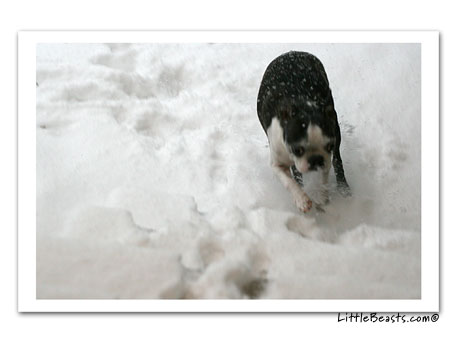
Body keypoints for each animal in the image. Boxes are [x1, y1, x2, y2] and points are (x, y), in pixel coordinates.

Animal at [258, 50, 350, 212]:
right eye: (298, 149)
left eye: (329, 146)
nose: (316, 159)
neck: (303, 107)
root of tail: (293, 52)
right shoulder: (277, 163)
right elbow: (289, 182)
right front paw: (301, 199)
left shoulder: (327, 157)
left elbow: (324, 176)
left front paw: (321, 195)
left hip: (335, 127)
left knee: (337, 160)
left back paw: (343, 186)